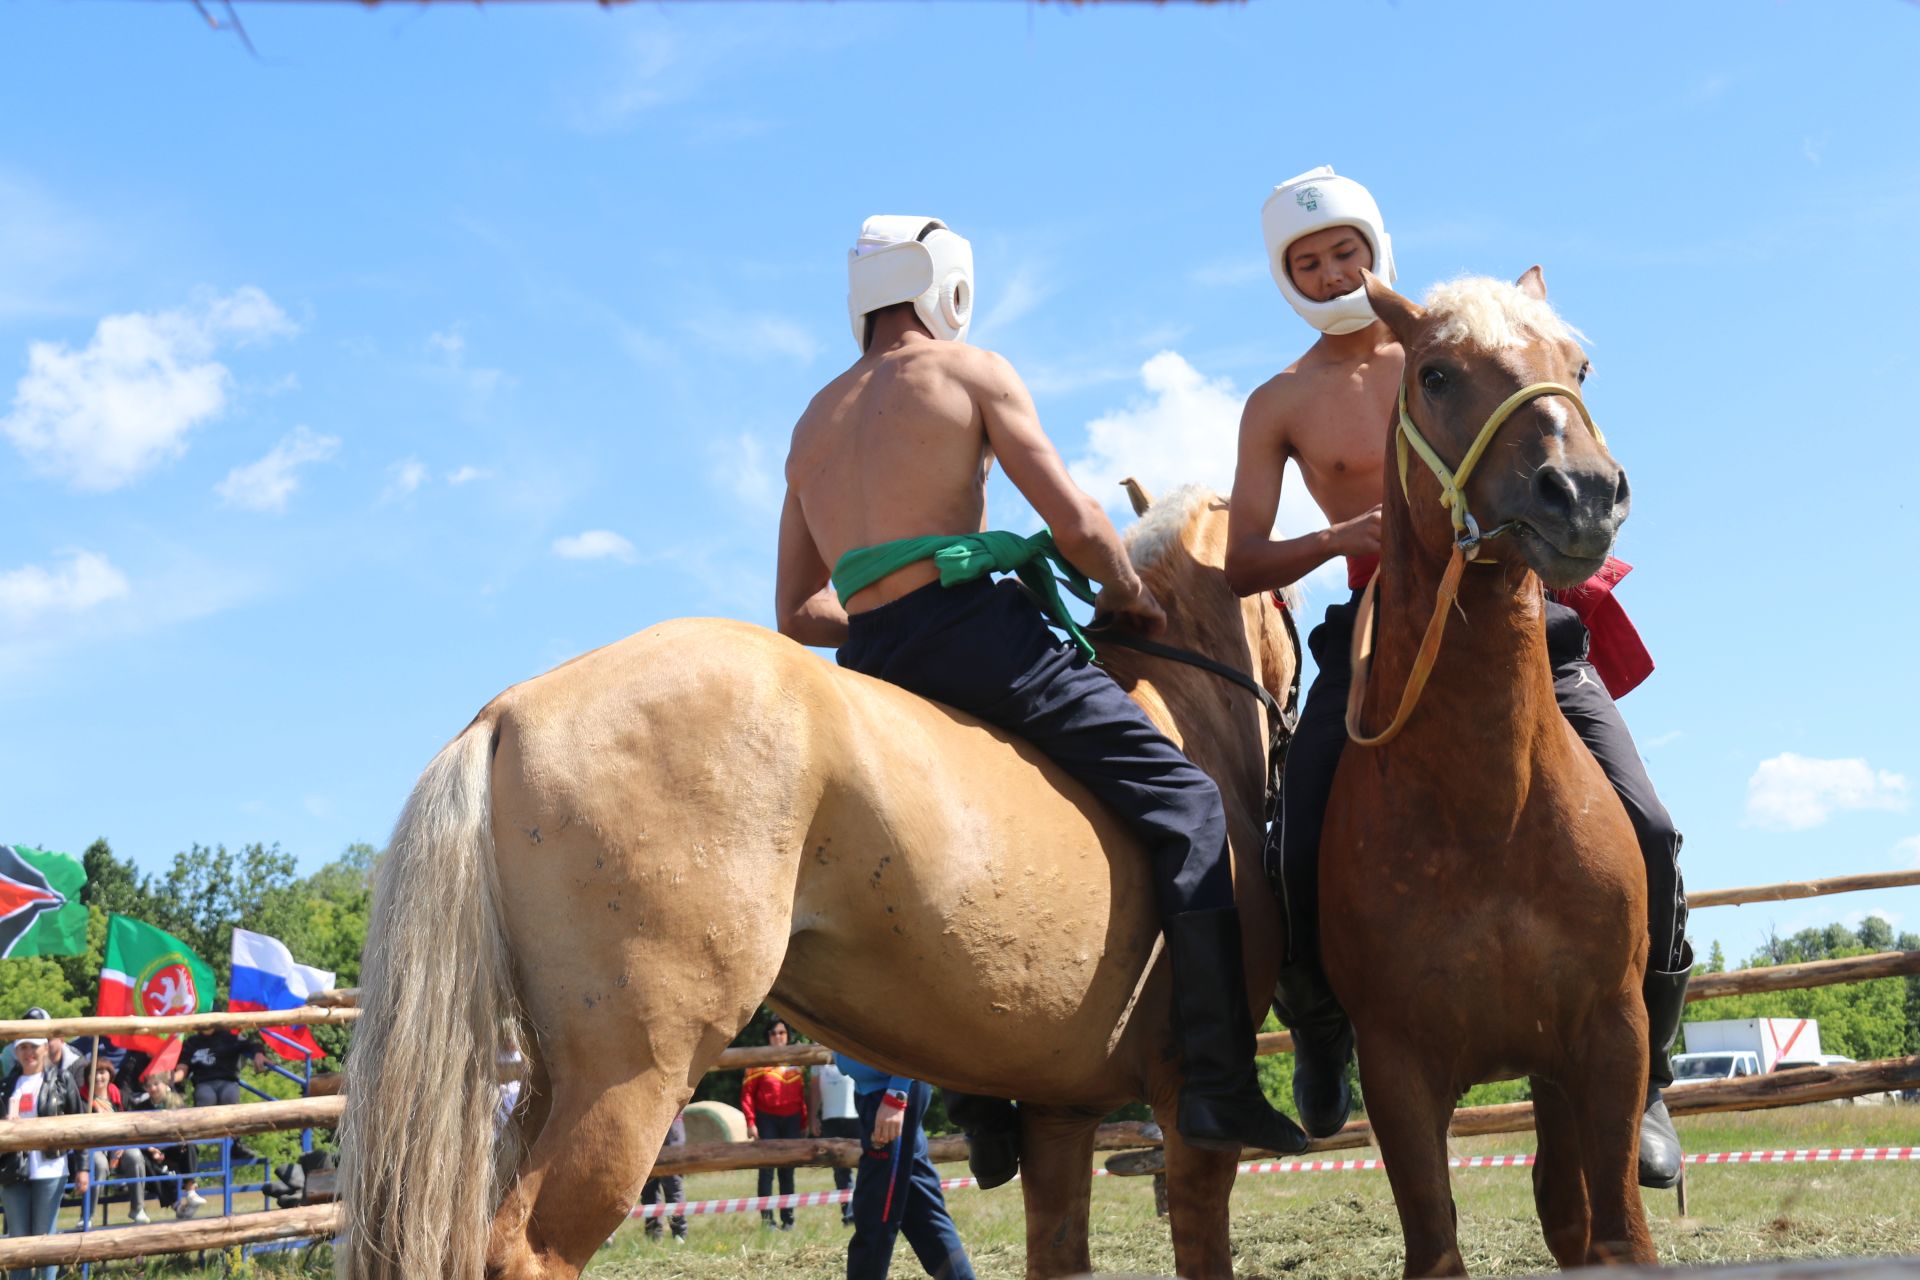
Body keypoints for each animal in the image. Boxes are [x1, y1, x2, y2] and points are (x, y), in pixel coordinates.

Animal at [337, 483, 1305, 1280]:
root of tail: (509, 709)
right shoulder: (1186, 1108)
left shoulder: (1059, 1113)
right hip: (630, 1077)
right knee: (527, 1249)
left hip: (543, 1078)